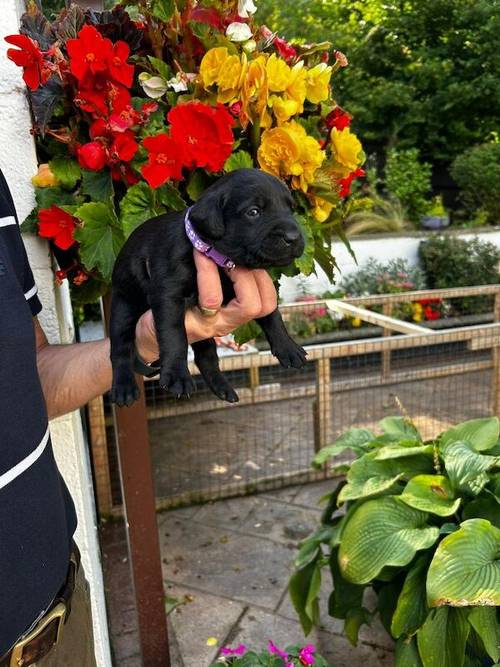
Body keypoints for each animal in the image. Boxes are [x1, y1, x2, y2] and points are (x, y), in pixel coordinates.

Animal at [110, 168, 308, 408]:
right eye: (254, 212)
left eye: (290, 209)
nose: (294, 237)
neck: (221, 261)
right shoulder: (169, 295)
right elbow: (173, 333)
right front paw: (177, 374)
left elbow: (272, 314)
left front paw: (288, 346)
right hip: (123, 306)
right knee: (120, 349)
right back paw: (124, 388)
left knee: (207, 356)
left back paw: (222, 386)